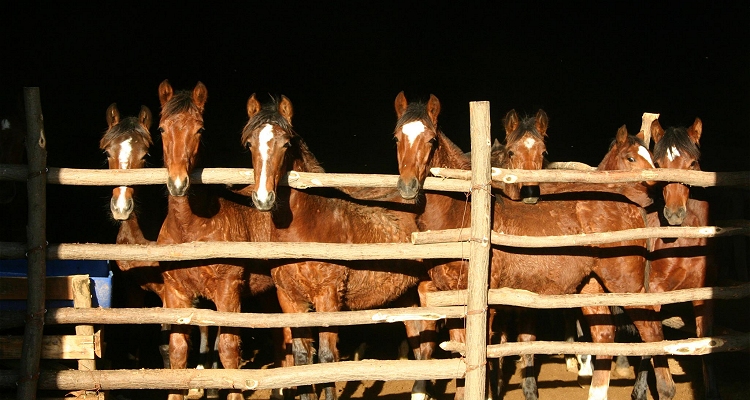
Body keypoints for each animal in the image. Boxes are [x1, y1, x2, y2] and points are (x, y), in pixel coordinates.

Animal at [156, 79, 280, 400]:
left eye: (200, 130)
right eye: (161, 129)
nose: (178, 183)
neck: (190, 229)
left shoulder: (228, 292)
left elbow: (228, 349)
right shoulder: (176, 293)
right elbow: (178, 352)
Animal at [244, 93, 438, 400]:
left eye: (285, 144)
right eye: (250, 144)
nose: (263, 198)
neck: (307, 227)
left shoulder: (328, 298)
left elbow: (326, 359)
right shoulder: (290, 300)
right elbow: (302, 358)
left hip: (427, 289)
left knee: (428, 345)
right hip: (406, 293)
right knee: (417, 342)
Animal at [394, 91, 676, 400]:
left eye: (431, 140)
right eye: (397, 138)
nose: (407, 186)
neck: (462, 214)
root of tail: (632, 205)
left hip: (626, 284)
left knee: (651, 332)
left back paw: (664, 389)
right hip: (591, 286)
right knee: (605, 337)